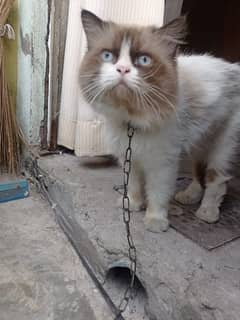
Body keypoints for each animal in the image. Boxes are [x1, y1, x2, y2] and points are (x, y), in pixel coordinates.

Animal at [79, 8, 240, 231]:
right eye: (107, 56)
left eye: (144, 60)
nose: (122, 70)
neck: (133, 118)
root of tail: (233, 68)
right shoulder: (130, 155)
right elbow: (133, 185)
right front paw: (132, 205)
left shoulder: (163, 162)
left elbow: (157, 193)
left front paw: (155, 221)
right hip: (198, 143)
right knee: (198, 172)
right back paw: (189, 196)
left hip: (221, 145)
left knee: (216, 179)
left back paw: (207, 213)